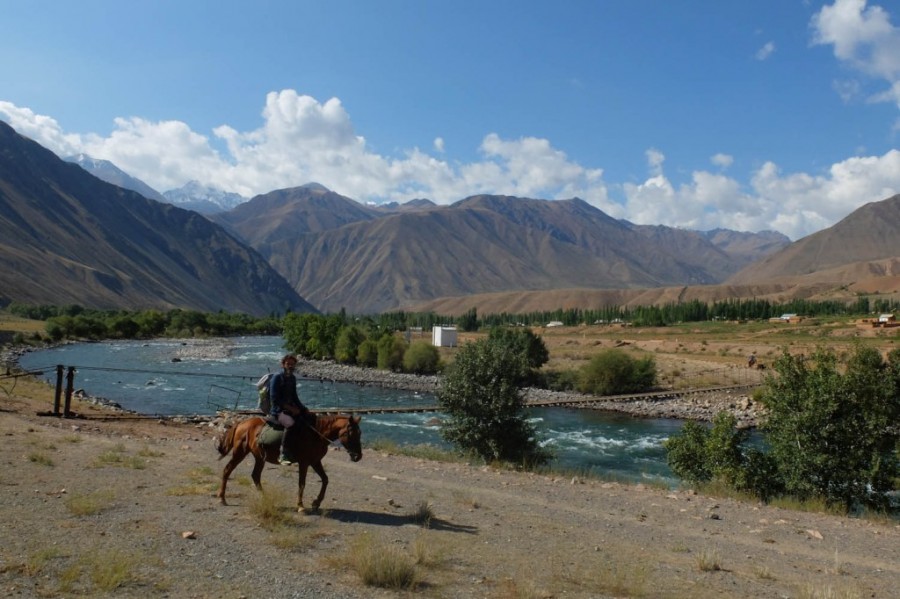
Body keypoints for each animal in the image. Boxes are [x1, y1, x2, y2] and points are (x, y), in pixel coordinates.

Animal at [215, 414, 362, 512]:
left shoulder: (315, 461)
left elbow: (325, 480)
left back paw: (264, 497)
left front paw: (316, 503)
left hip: (260, 457)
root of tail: (241, 424)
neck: (316, 435)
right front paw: (300, 506)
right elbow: (302, 484)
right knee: (227, 470)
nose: (358, 456)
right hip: (240, 453)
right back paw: (222, 498)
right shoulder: (304, 463)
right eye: (351, 432)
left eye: (359, 433)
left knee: (255, 475)